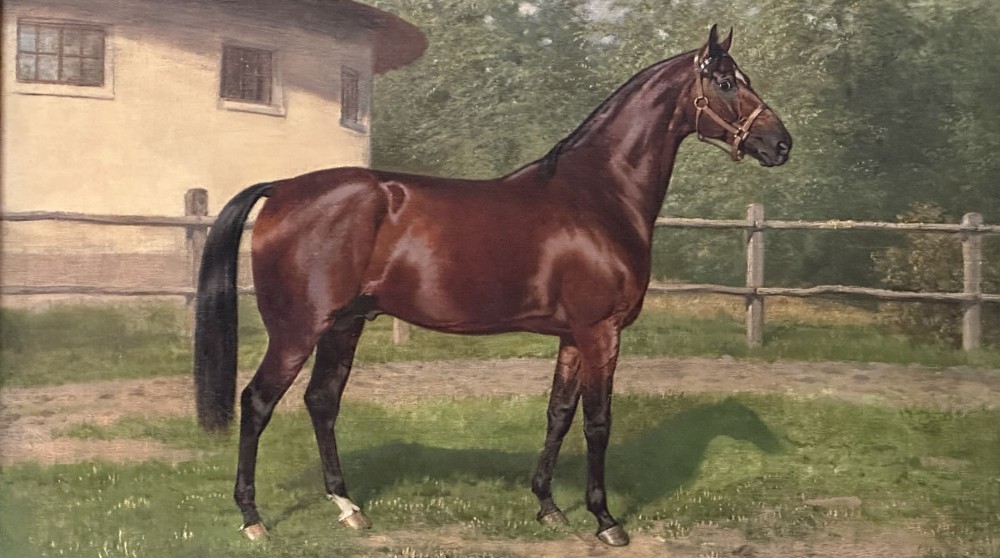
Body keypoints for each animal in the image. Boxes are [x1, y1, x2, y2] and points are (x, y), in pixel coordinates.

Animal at [194, 25, 792, 547]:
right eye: (726, 82)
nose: (781, 143)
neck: (598, 196)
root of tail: (283, 189)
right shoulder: (601, 332)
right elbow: (598, 421)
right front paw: (605, 520)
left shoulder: (572, 337)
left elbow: (558, 413)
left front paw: (548, 507)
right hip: (298, 329)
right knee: (257, 402)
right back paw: (253, 519)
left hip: (345, 324)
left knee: (321, 401)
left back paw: (349, 507)